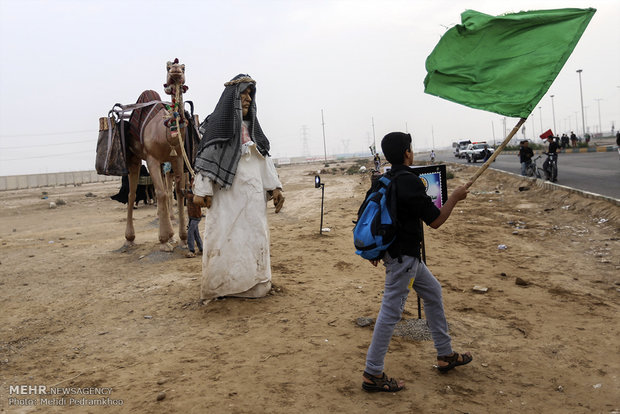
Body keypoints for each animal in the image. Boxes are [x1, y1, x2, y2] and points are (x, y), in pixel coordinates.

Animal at [123, 58, 195, 252]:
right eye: (168, 66)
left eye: (184, 67)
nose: (176, 70)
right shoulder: (152, 159)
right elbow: (161, 193)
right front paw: (164, 239)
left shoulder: (177, 158)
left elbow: (179, 192)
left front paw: (183, 239)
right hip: (134, 159)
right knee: (132, 193)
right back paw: (129, 239)